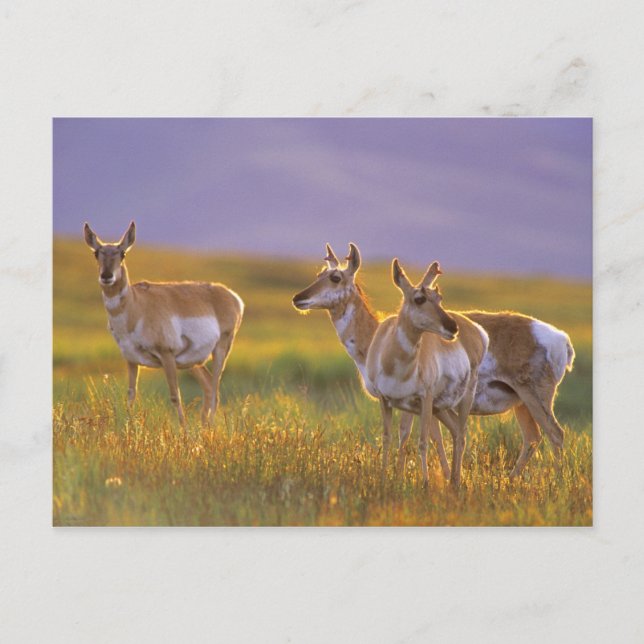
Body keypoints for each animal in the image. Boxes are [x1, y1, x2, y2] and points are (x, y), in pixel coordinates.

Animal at [83, 221, 244, 426]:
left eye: (123, 253)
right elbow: (131, 395)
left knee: (215, 388)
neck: (136, 306)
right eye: (96, 253)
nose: (106, 276)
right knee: (209, 386)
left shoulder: (167, 355)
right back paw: (204, 426)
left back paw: (210, 426)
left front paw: (184, 430)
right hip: (192, 362)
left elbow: (175, 396)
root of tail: (231, 295)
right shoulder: (131, 360)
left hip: (221, 350)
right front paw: (128, 427)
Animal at [292, 243, 574, 481]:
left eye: (335, 278)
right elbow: (435, 437)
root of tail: (560, 338)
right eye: (318, 274)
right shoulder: (425, 403)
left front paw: (406, 477)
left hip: (534, 396)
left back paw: (556, 484)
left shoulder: (416, 399)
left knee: (555, 434)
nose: (298, 298)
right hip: (521, 404)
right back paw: (510, 481)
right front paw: (443, 476)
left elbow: (407, 434)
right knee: (533, 438)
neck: (377, 334)